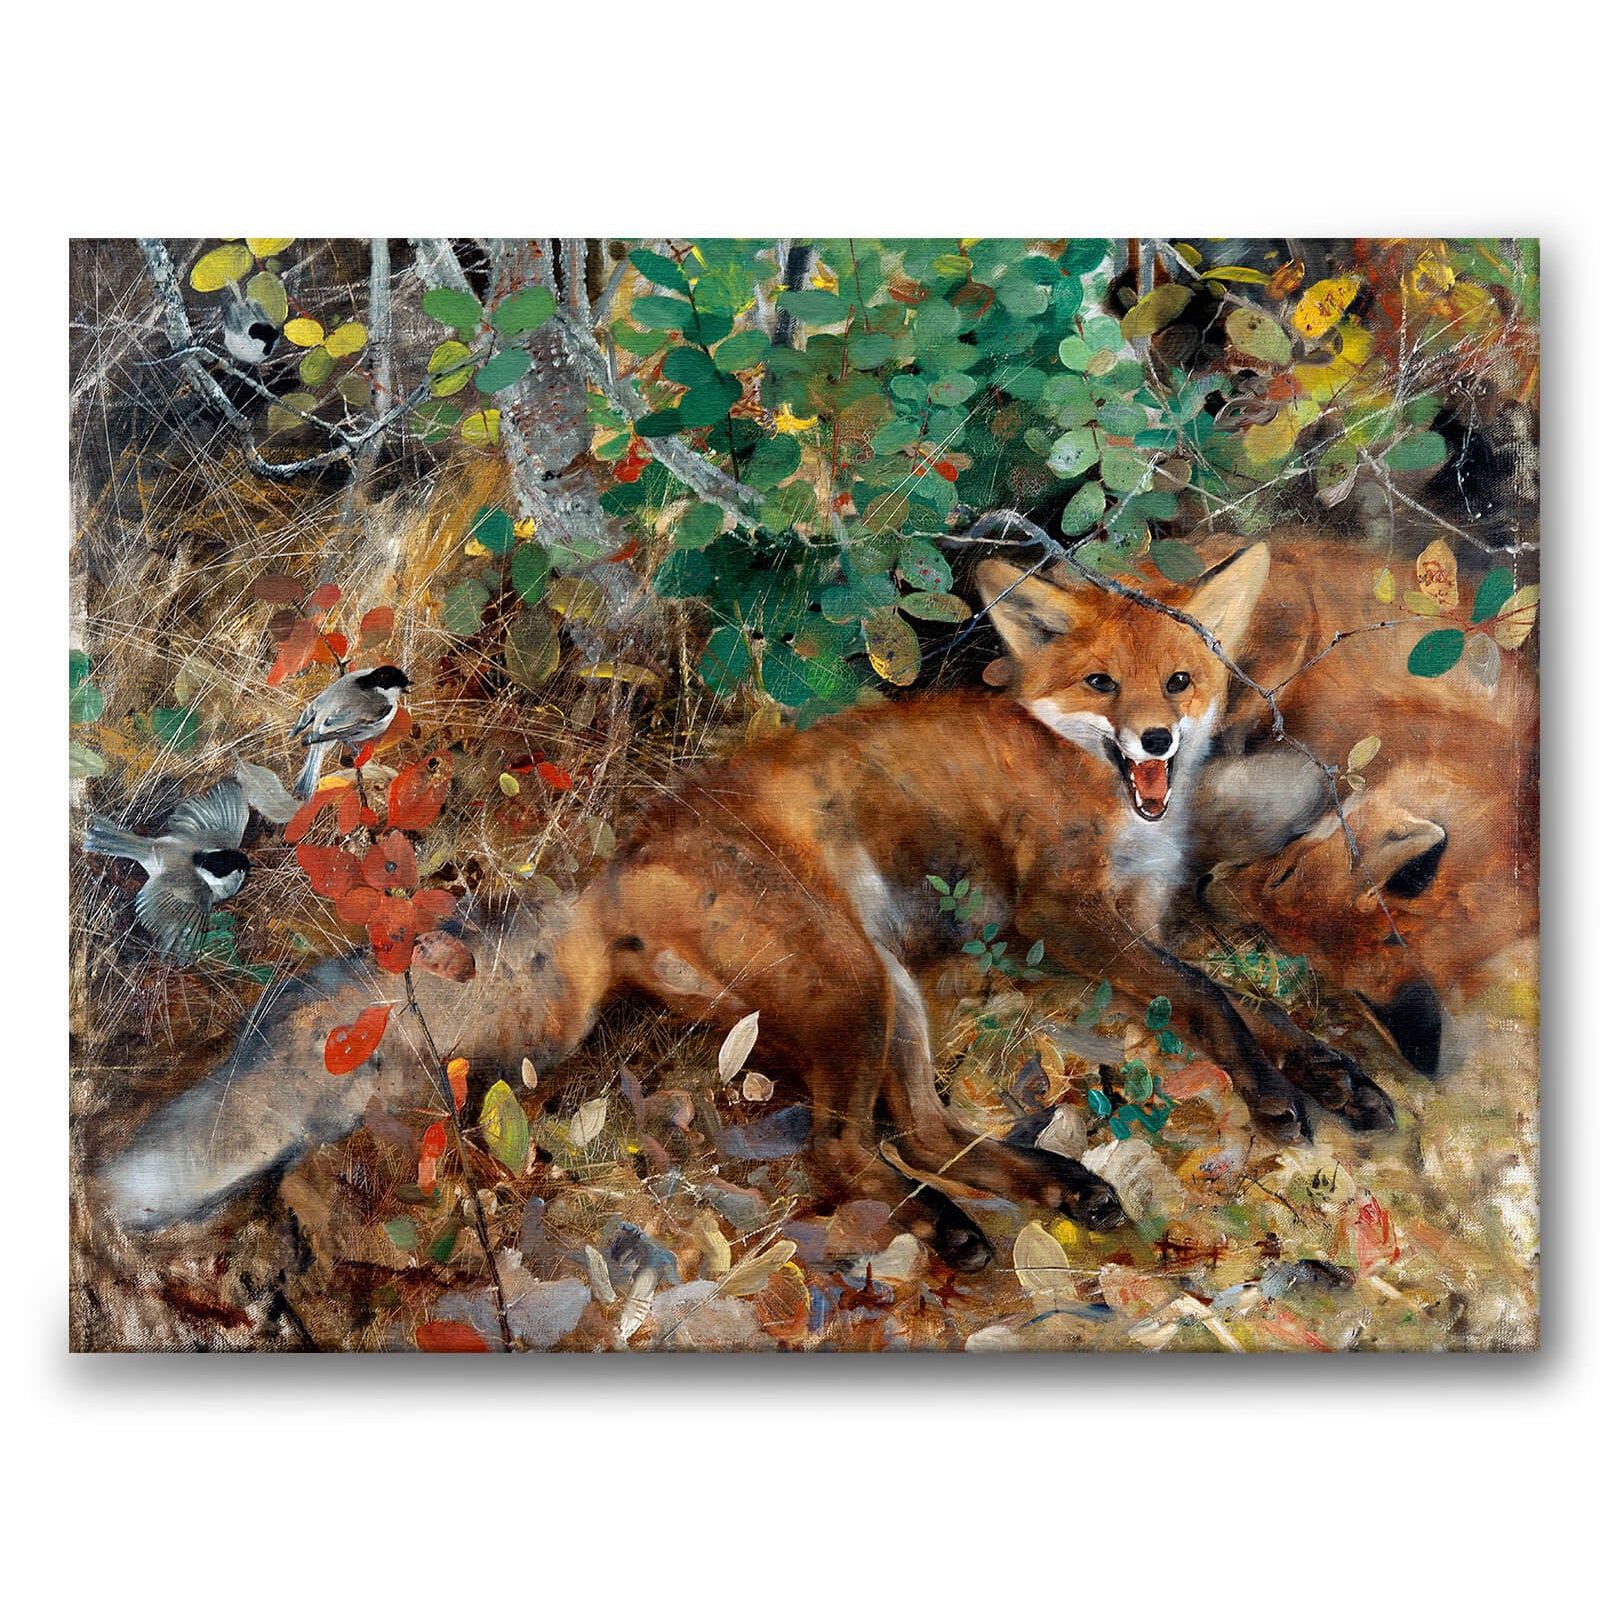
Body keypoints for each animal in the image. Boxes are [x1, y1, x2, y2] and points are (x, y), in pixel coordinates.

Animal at [95, 539, 1401, 1268]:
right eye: (1099, 684)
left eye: (1178, 680)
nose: (1158, 740)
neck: (1101, 789)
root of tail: (610, 873)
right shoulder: (1068, 915)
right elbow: (1213, 1000)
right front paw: (1277, 1097)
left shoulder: (1138, 917)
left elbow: (1248, 999)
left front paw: (1337, 1077)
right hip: (850, 984)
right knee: (843, 1150)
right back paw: (951, 1231)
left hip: (886, 990)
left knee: (919, 1132)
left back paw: (1051, 1186)